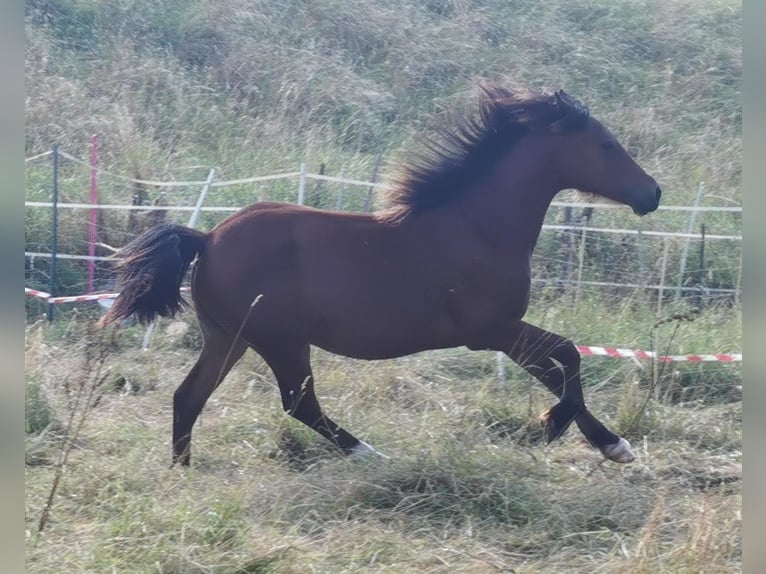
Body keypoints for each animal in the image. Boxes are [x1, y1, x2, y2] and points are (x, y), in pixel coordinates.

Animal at [100, 82, 661, 467]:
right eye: (606, 144)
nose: (652, 193)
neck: (480, 226)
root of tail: (207, 237)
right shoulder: (491, 330)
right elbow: (568, 358)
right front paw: (567, 431)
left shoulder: (500, 333)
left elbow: (558, 369)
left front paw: (606, 443)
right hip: (280, 340)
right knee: (299, 403)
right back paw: (369, 454)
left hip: (230, 337)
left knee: (189, 396)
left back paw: (183, 471)